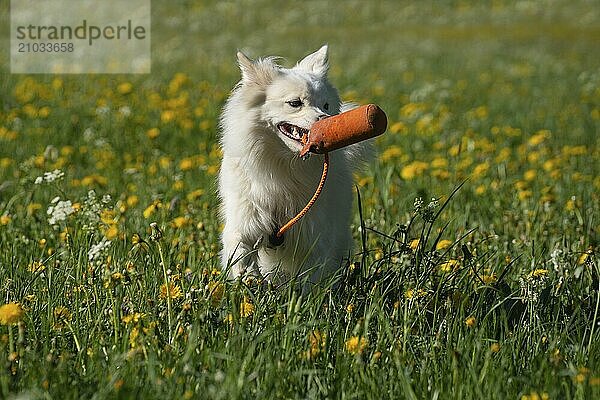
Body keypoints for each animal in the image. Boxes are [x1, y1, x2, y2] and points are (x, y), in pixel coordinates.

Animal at [217, 45, 366, 286]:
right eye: (295, 103)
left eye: (325, 105)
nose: (326, 118)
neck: (285, 164)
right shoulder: (246, 217)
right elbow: (240, 250)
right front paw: (249, 280)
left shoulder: (314, 234)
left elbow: (310, 279)